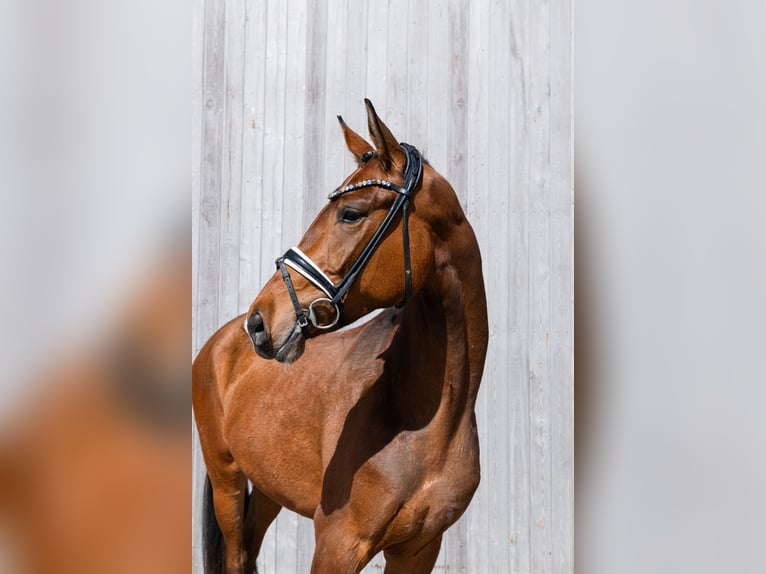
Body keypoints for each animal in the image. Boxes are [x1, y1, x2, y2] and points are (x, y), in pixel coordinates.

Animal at [192, 99, 488, 574]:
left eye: (350, 213)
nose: (259, 322)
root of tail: (220, 342)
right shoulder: (338, 545)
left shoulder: (419, 549)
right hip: (227, 483)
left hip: (270, 489)